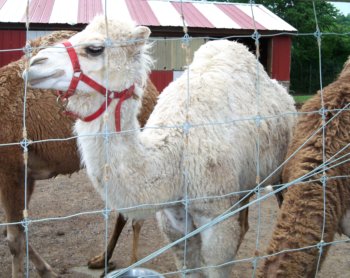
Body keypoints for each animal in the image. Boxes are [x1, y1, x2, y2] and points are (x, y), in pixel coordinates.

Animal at [26, 16, 296, 276]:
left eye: (95, 49)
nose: (34, 65)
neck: (174, 155)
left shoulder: (216, 217)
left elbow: (216, 264)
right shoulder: (173, 221)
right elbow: (189, 266)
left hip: (281, 169)